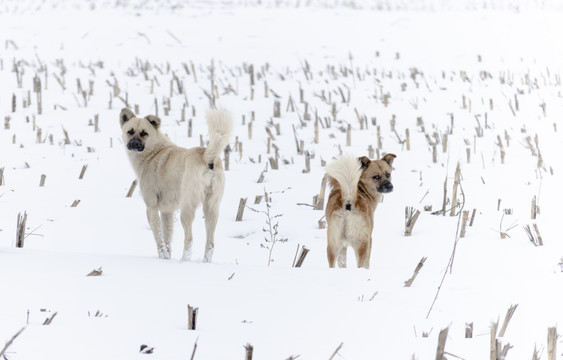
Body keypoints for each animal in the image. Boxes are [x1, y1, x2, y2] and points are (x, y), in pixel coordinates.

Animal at [120, 107, 232, 262]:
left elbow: (159, 238)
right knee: (210, 244)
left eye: (144, 133)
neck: (153, 153)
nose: (134, 144)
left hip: (187, 208)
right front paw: (167, 258)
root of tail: (207, 157)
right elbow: (167, 239)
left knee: (189, 239)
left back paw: (183, 261)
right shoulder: (167, 211)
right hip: (211, 209)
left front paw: (162, 256)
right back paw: (205, 262)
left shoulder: (151, 208)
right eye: (130, 131)